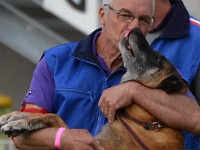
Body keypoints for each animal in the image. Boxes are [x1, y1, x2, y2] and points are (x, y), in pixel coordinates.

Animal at [0, 27, 188, 149]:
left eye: (158, 58)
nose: (136, 29)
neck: (146, 118)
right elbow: (51, 116)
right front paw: (13, 117)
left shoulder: (95, 145)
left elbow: (53, 117)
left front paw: (20, 124)